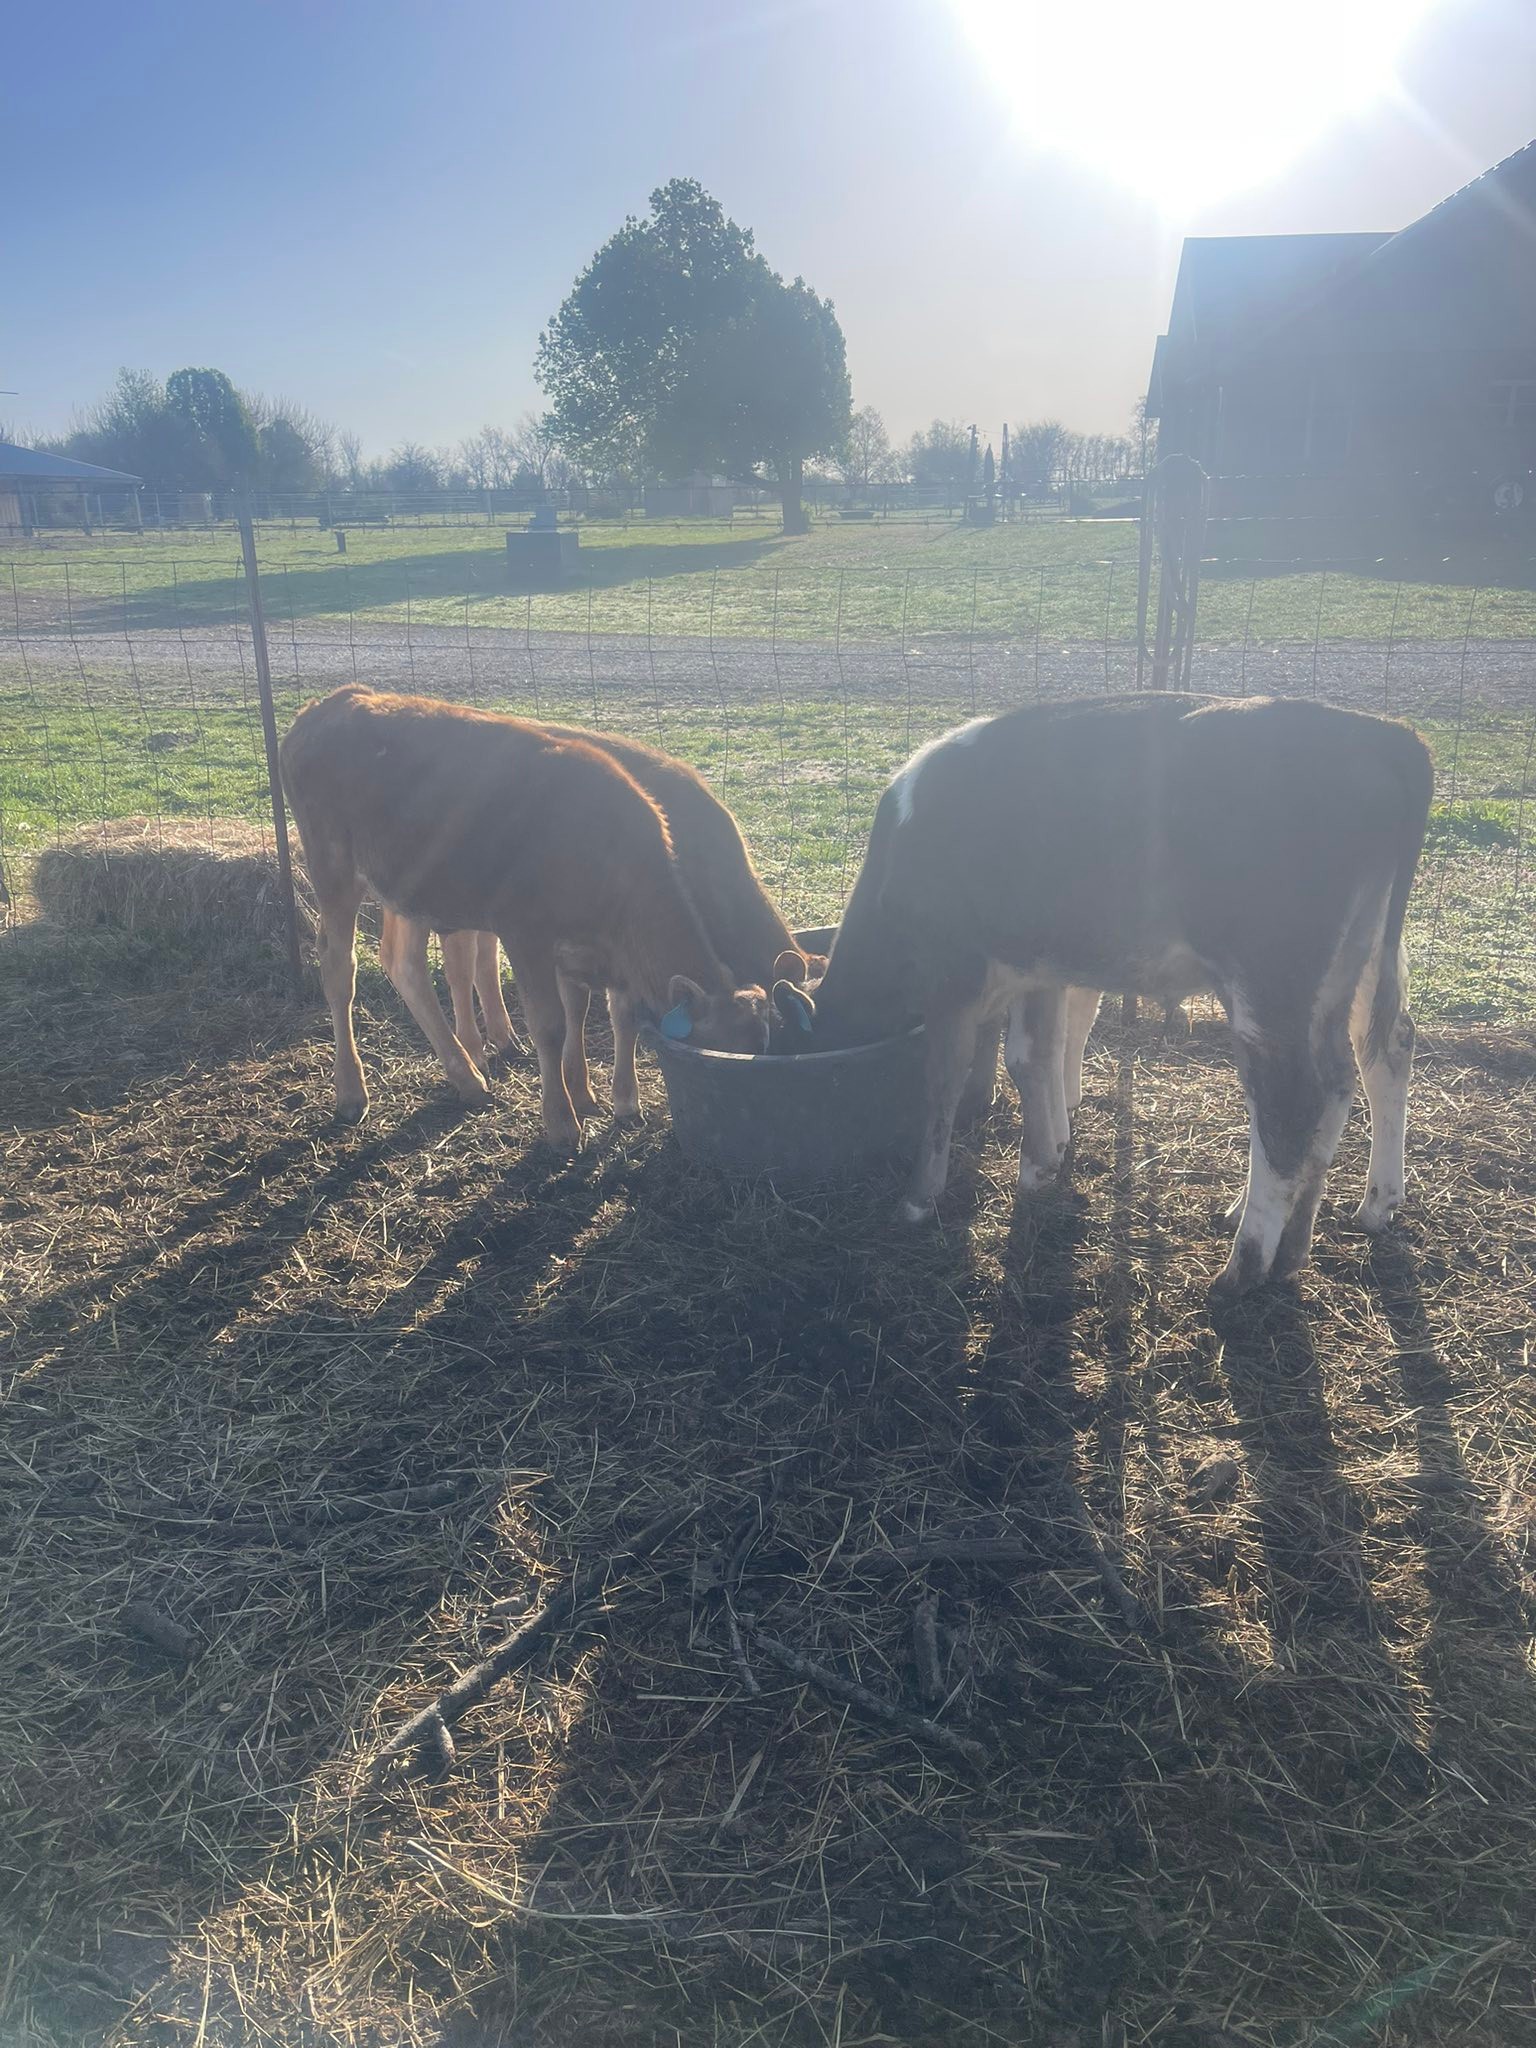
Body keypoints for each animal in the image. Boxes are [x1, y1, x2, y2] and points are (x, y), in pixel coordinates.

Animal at [279, 686, 771, 1148]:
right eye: (717, 1056)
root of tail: (330, 703)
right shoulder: (525, 932)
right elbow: (550, 1024)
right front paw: (562, 1122)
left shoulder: (588, 950)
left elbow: (602, 1013)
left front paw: (596, 1098)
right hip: (333, 866)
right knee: (339, 967)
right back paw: (351, 1092)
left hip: (406, 888)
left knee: (404, 965)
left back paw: (467, 1078)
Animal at [378, 724, 825, 1121]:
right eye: (786, 1023)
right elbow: (587, 1010)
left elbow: (609, 1014)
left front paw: (612, 1098)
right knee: (431, 964)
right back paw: (470, 1058)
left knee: (480, 957)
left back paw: (503, 1040)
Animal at [797, 694, 1434, 1298]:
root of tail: (1380, 732)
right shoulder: (1039, 967)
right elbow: (1035, 1055)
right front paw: (1045, 1159)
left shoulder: (954, 975)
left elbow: (945, 1081)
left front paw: (918, 1197)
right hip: (1353, 964)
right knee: (1362, 1066)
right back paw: (1323, 1230)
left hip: (1271, 982)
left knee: (1290, 1102)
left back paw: (1244, 1266)